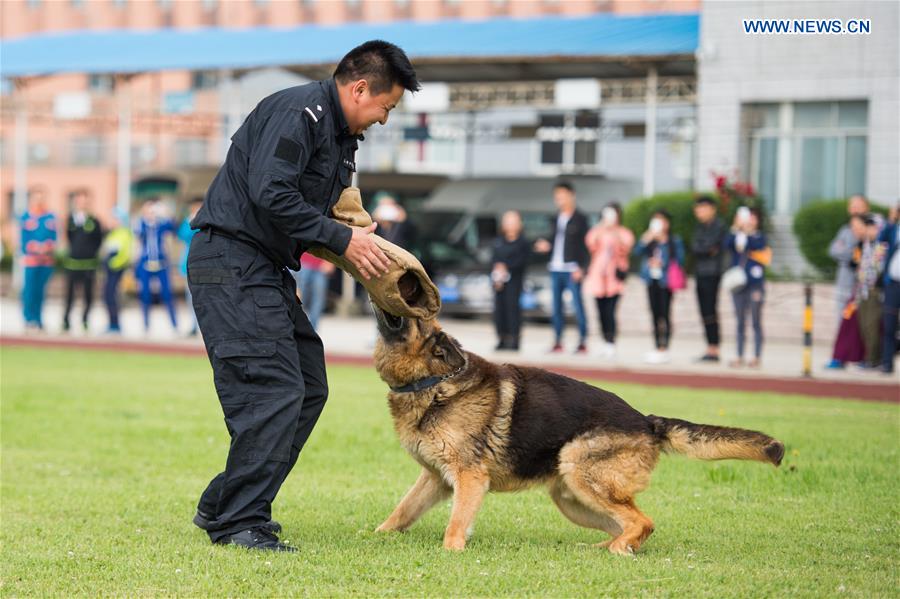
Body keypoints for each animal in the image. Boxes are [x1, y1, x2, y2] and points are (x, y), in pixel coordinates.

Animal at [370, 308, 784, 556]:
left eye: (413, 312)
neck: (433, 381)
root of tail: (647, 421)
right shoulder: (436, 479)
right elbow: (402, 510)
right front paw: (377, 536)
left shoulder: (470, 479)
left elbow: (456, 523)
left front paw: (451, 551)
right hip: (573, 499)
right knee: (635, 524)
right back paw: (609, 547)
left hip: (580, 472)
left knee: (642, 521)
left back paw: (615, 551)